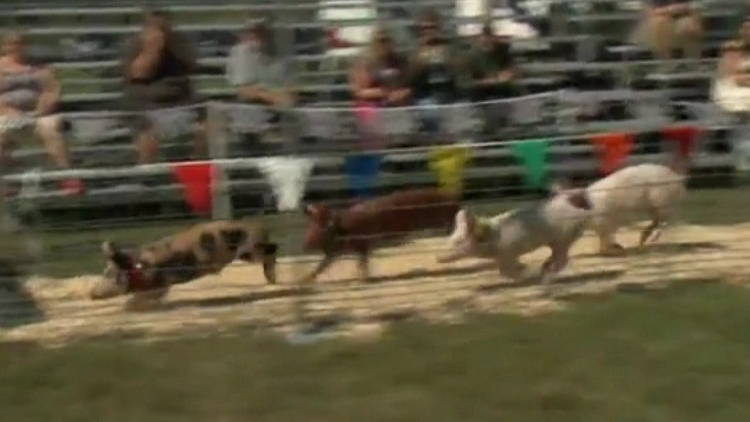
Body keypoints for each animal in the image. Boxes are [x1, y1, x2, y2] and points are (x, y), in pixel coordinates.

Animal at [440, 190, 592, 292]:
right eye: (451, 238)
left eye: (458, 241)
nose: (438, 258)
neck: (493, 237)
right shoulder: (502, 257)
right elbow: (505, 271)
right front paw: (524, 267)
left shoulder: (508, 253)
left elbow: (506, 271)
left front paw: (527, 270)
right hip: (559, 242)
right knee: (559, 259)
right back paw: (544, 267)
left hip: (563, 239)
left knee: (562, 260)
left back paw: (544, 275)